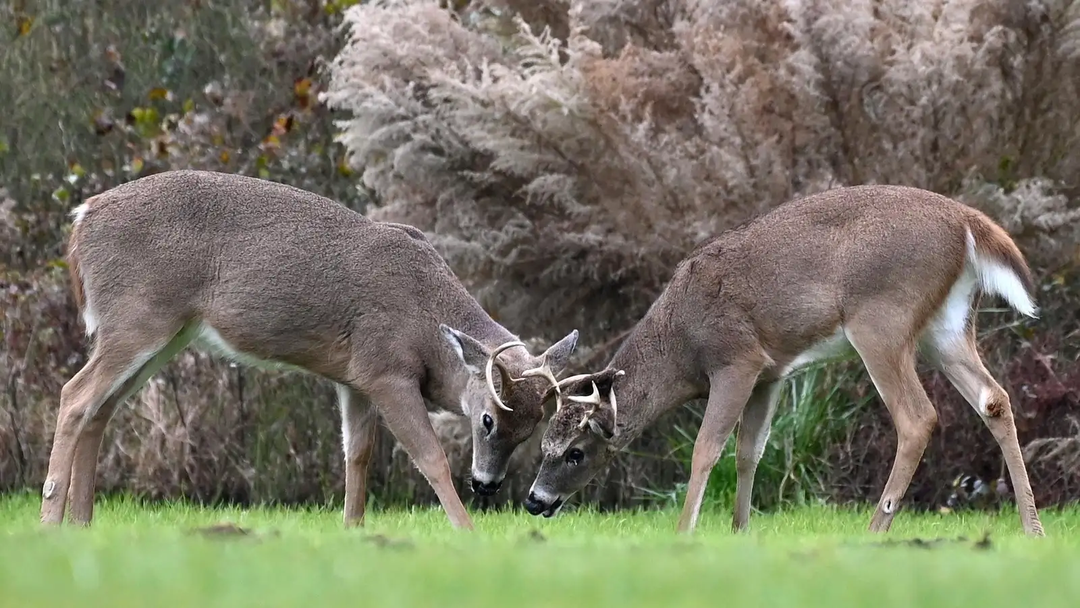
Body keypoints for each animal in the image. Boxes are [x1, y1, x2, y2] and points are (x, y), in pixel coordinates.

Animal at [42, 168, 583, 531]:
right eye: (488, 419)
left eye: (532, 428)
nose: (488, 484)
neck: (427, 320)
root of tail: (82, 218)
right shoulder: (387, 369)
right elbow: (429, 456)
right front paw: (467, 533)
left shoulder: (356, 378)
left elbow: (357, 455)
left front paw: (353, 531)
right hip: (137, 317)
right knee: (74, 395)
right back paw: (50, 521)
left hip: (162, 333)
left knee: (100, 408)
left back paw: (82, 523)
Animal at [522, 184, 1045, 537]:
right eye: (544, 445)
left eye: (575, 452)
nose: (534, 500)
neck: (680, 343)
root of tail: (967, 222)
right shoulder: (770, 372)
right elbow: (749, 450)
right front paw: (740, 530)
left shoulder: (737, 358)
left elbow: (707, 447)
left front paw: (685, 532)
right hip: (947, 327)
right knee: (994, 398)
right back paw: (1032, 527)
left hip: (881, 319)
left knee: (917, 417)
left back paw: (875, 529)